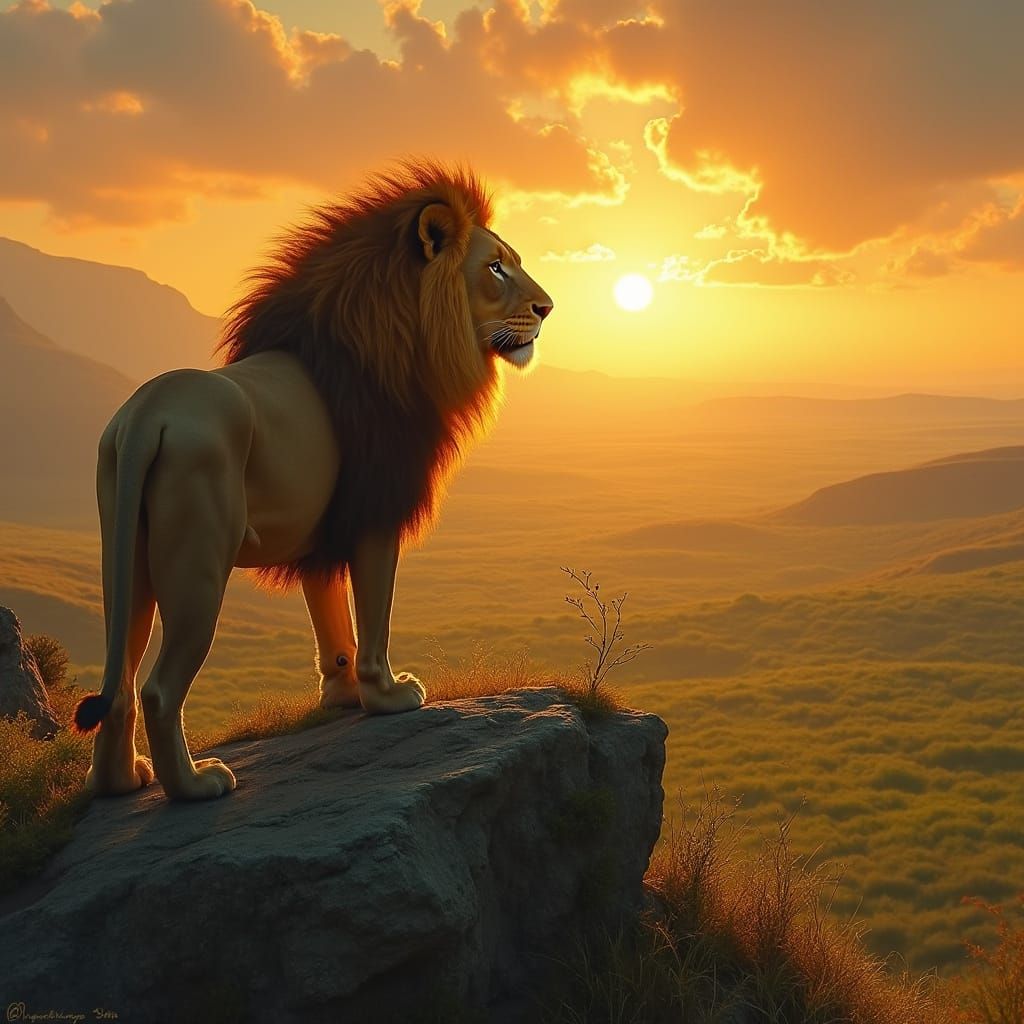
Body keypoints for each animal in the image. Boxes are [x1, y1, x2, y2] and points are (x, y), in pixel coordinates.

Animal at [72, 162, 554, 801]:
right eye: (496, 266)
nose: (548, 308)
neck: (404, 344)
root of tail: (148, 414)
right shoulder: (375, 513)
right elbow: (372, 616)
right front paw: (387, 696)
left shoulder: (323, 529)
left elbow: (332, 624)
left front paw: (342, 696)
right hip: (197, 561)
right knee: (158, 688)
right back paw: (196, 786)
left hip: (126, 559)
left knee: (121, 676)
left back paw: (120, 782)